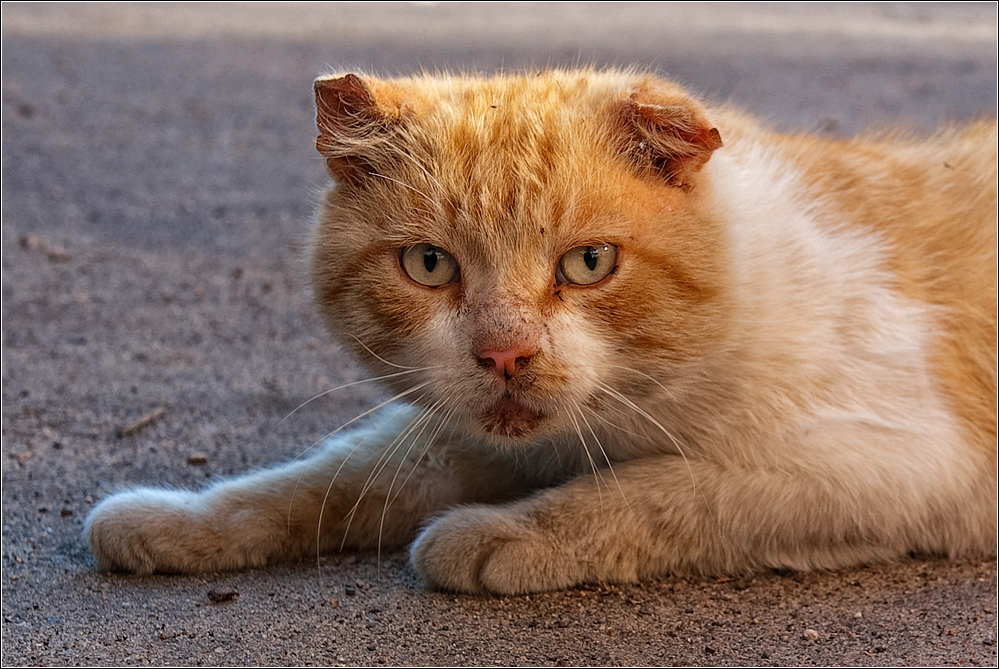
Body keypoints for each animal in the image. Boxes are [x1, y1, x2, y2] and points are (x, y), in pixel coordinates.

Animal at [86, 70, 999, 592]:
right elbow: (322, 480)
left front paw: (502, 532)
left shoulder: (895, 462)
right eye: (428, 265)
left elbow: (666, 490)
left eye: (589, 262)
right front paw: (182, 521)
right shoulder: (465, 433)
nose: (503, 352)